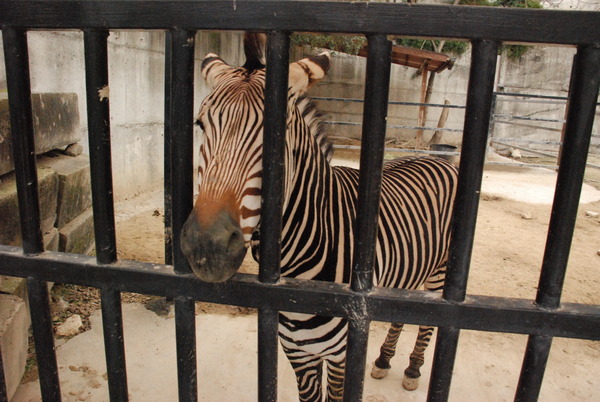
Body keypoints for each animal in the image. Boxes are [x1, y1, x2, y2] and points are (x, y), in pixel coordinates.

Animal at [180, 36, 458, 400]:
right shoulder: (297, 351)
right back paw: (384, 359)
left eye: (277, 134)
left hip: (441, 272)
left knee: (427, 321)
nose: (206, 247)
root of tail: (437, 159)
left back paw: (412, 368)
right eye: (200, 125)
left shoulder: (341, 354)